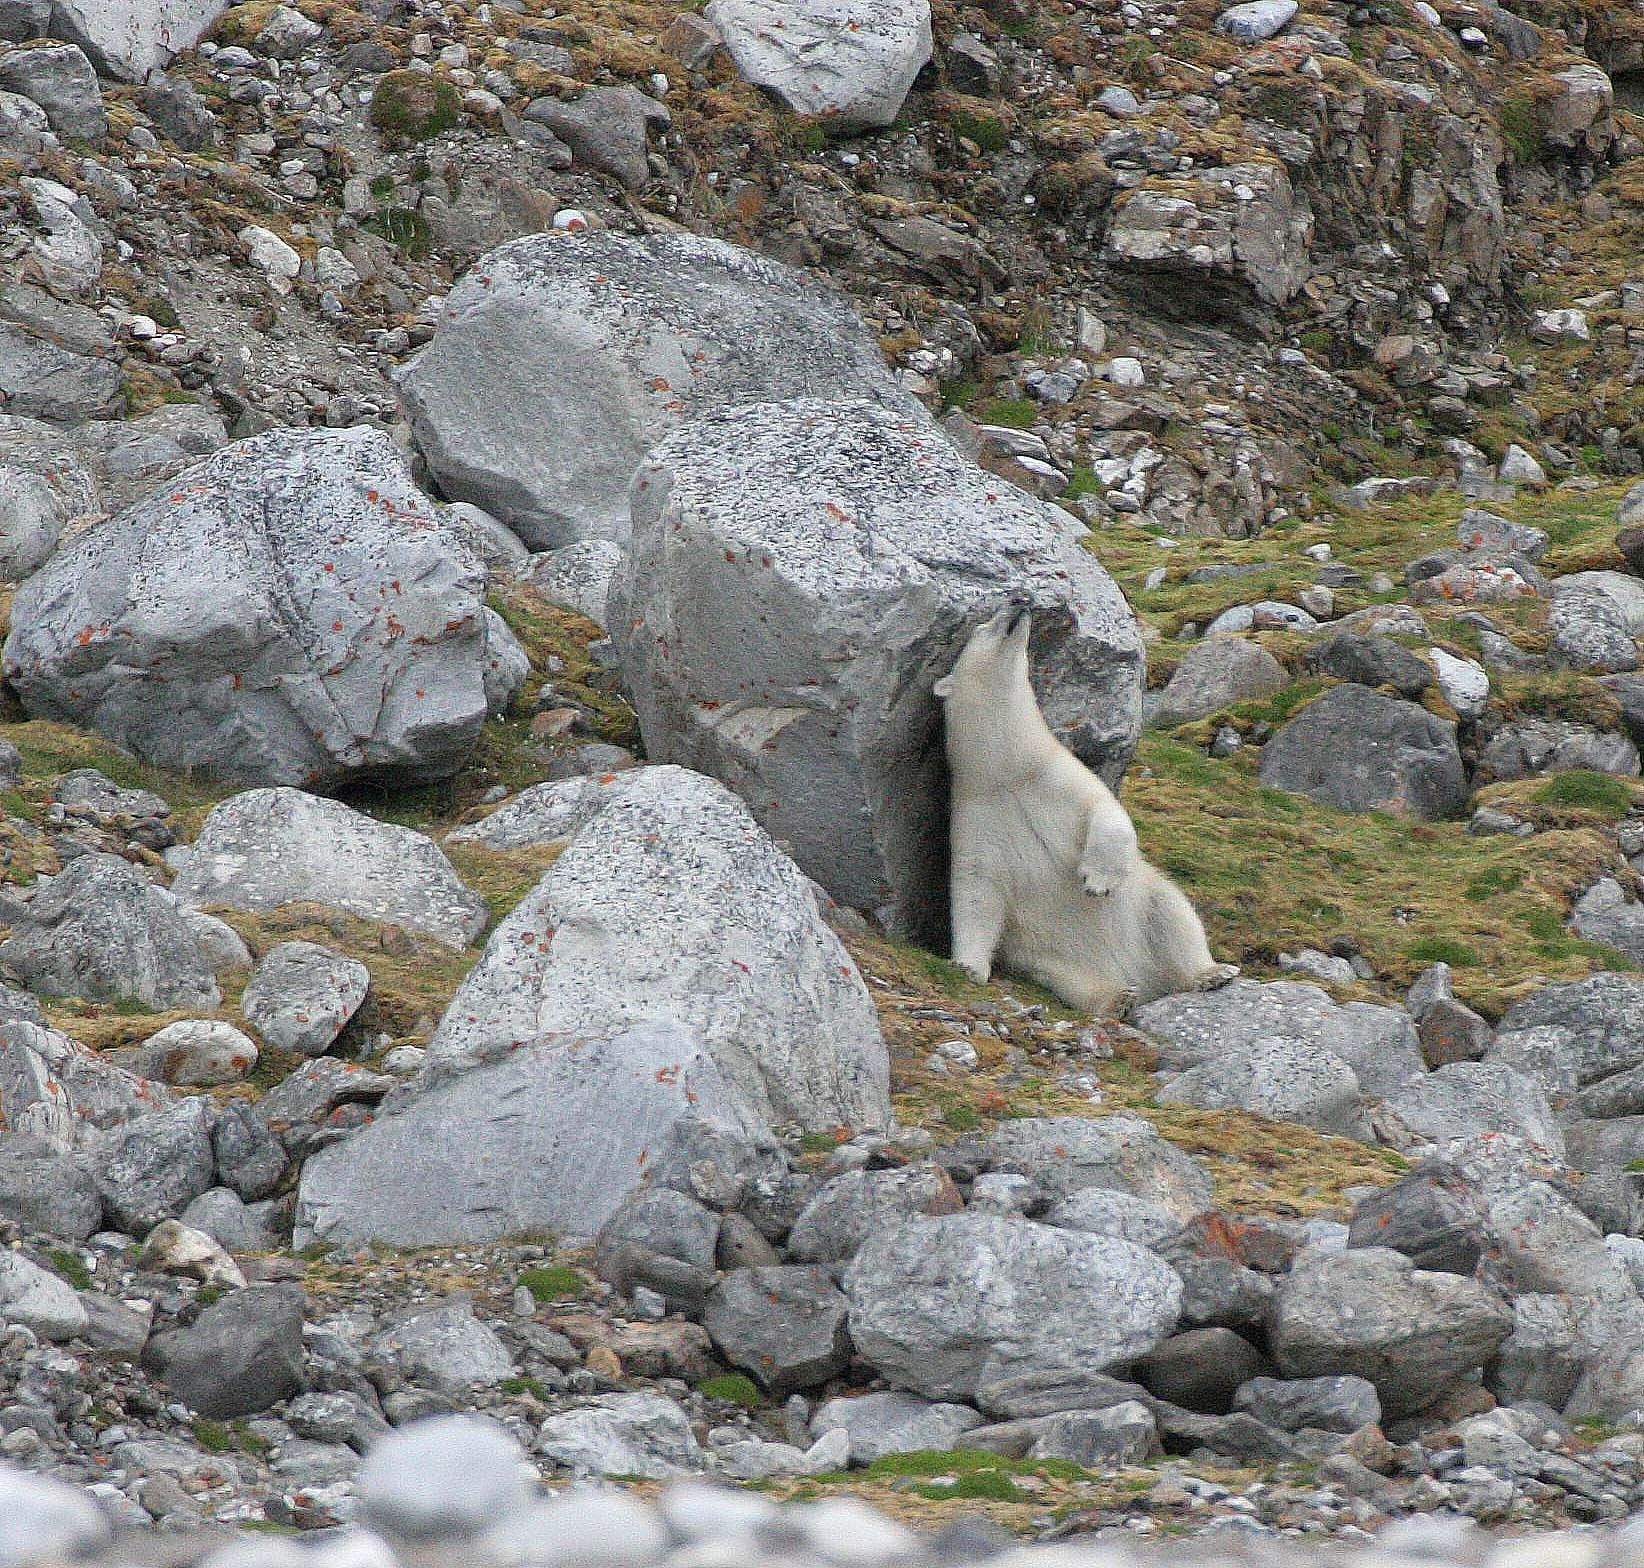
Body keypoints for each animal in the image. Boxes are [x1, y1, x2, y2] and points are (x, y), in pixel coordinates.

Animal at [934, 599, 1238, 1014]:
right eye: (983, 627)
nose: (1020, 599)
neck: (1007, 771)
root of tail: (1140, 976)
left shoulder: (1060, 779)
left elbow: (1106, 812)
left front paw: (1096, 880)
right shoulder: (978, 814)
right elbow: (976, 887)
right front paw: (967, 967)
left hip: (1148, 900)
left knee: (1175, 917)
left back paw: (1210, 973)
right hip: (1048, 958)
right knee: (1069, 981)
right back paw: (1116, 999)